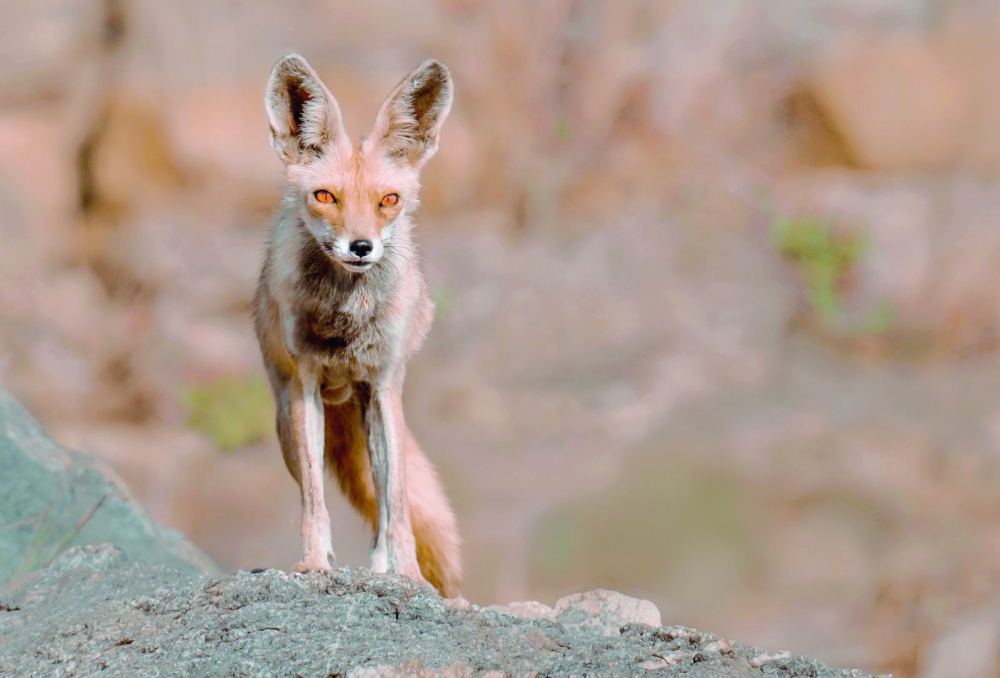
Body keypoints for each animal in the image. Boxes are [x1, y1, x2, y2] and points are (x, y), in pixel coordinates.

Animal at [252, 53, 461, 597]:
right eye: (326, 196)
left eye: (389, 200)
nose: (362, 247)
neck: (345, 322)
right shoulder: (304, 384)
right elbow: (314, 503)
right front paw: (313, 565)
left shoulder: (386, 385)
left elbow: (399, 508)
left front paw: (409, 576)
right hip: (286, 423)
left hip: (372, 412)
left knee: (386, 505)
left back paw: (384, 566)